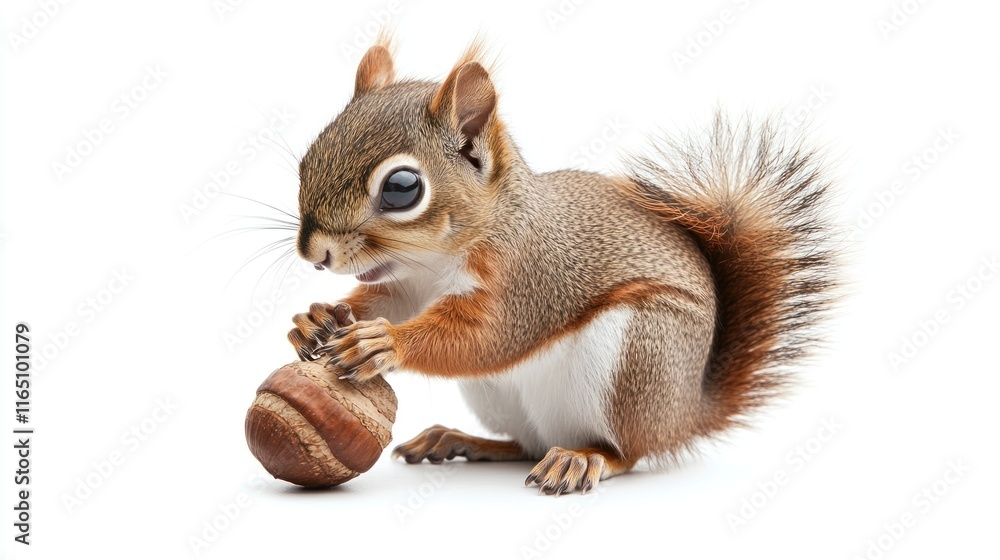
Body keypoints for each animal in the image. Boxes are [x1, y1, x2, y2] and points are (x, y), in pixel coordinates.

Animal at [286, 36, 835, 495]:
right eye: (308, 159)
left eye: (402, 188)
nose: (315, 254)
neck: (435, 261)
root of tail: (682, 415)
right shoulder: (404, 288)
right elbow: (383, 303)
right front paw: (316, 320)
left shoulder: (530, 277)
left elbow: (488, 338)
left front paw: (384, 343)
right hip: (502, 399)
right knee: (525, 445)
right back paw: (460, 440)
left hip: (637, 355)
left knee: (626, 452)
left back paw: (582, 459)